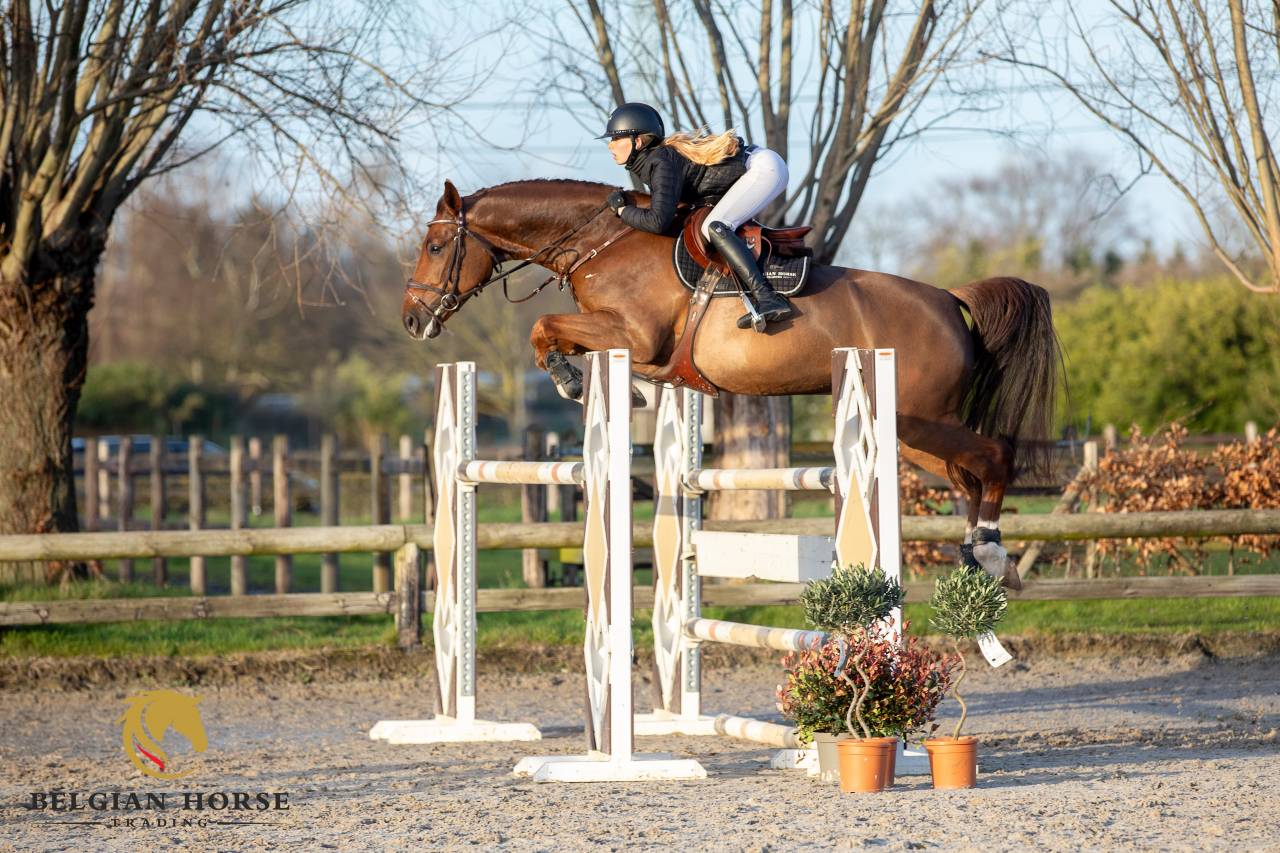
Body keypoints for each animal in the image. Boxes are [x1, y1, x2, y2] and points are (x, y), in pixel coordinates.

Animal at [402, 179, 1062, 587]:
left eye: (434, 245)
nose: (412, 319)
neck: (601, 244)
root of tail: (949, 299)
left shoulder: (634, 336)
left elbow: (545, 327)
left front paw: (573, 382)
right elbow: (555, 335)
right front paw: (600, 385)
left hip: (917, 419)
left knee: (994, 455)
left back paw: (992, 549)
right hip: (909, 433)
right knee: (968, 472)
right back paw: (983, 559)